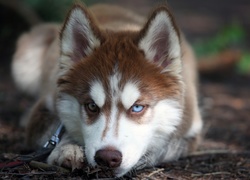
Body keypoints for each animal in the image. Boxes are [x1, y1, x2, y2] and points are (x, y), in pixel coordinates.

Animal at [12, 3, 203, 177]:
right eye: (91, 106)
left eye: (137, 107)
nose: (107, 158)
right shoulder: (44, 109)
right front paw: (67, 148)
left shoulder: (191, 128)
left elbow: (168, 145)